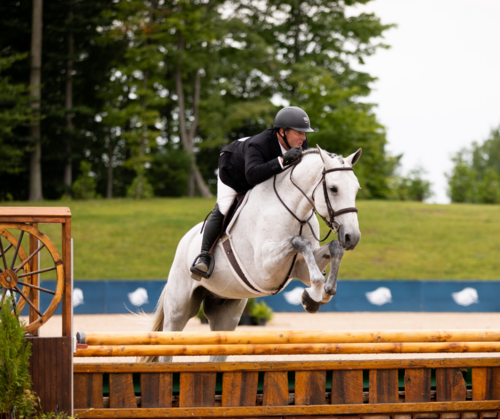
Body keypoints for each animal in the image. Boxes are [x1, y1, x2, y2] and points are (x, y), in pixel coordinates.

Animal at [146, 146, 362, 362]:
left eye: (356, 189)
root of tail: (185, 240)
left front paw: (324, 293)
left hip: (226, 313)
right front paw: (313, 295)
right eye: (333, 188)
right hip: (179, 308)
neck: (295, 212)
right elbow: (301, 242)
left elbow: (333, 248)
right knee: (169, 341)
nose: (352, 237)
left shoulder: (300, 268)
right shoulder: (265, 268)